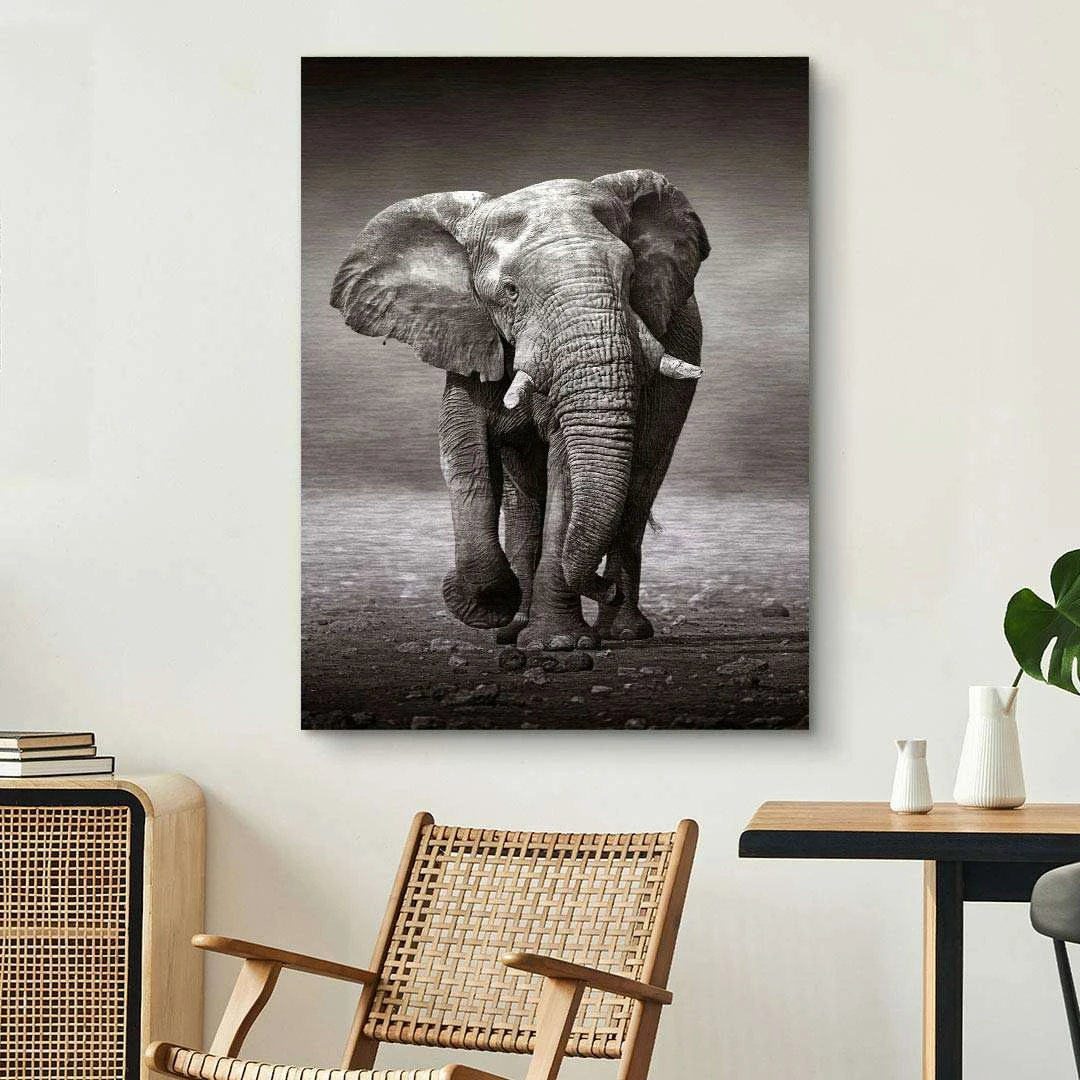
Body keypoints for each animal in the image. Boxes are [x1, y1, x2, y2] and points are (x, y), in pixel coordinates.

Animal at [330, 169, 709, 651]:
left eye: (629, 281)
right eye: (510, 292)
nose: (603, 586)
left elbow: (565, 471)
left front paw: (558, 645)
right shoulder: (469, 336)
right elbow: (464, 453)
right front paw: (486, 607)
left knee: (638, 488)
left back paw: (623, 633)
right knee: (524, 501)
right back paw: (515, 630)